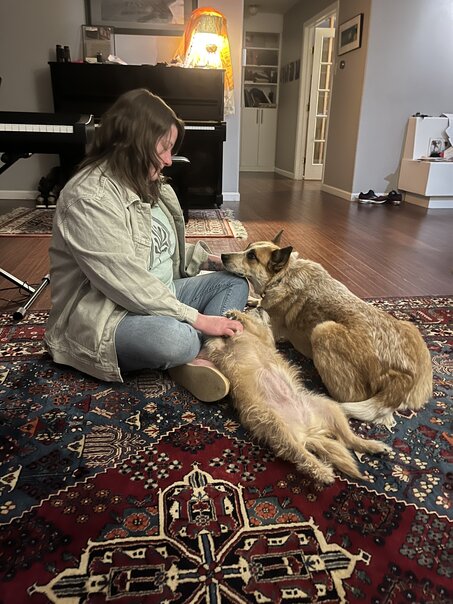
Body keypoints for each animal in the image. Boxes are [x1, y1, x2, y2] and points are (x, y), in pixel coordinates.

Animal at [204, 308, 391, 485]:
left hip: (321, 411)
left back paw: (333, 467)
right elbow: (217, 345)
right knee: (334, 444)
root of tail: (308, 432)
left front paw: (235, 316)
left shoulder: (262, 335)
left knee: (324, 448)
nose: (259, 307)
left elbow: (250, 326)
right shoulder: (223, 351)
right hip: (282, 426)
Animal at [221, 231, 432, 428]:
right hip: (409, 327)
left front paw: (240, 313)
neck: (282, 276)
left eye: (252, 256)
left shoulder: (272, 331)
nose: (222, 255)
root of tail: (405, 375)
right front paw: (252, 300)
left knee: (349, 398)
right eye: (247, 248)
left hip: (322, 331)